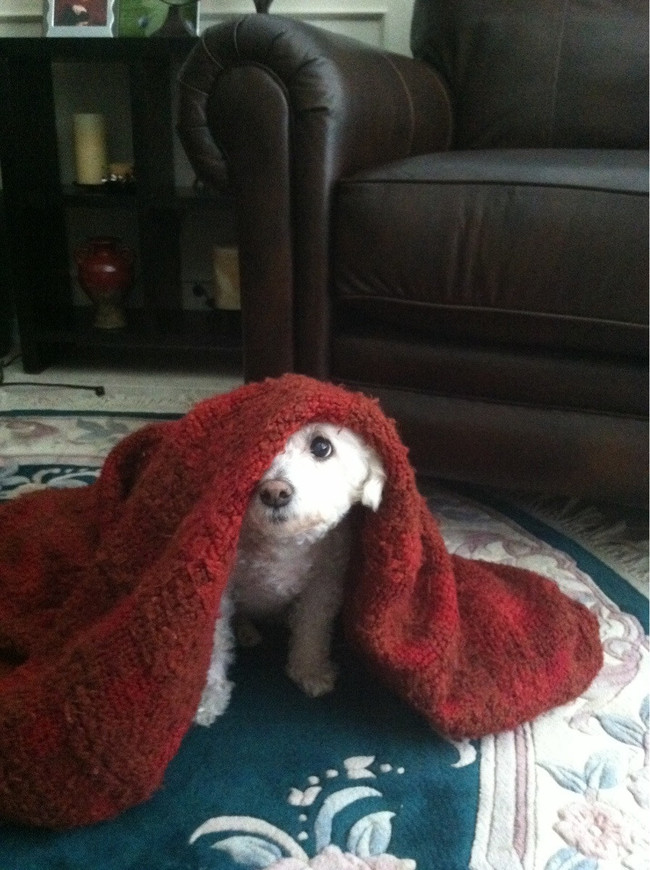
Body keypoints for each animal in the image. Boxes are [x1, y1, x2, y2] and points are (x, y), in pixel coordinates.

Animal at [192, 424, 384, 728]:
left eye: (321, 446)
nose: (274, 492)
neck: (281, 544)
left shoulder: (323, 585)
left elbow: (312, 629)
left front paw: (310, 670)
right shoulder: (219, 589)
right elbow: (216, 642)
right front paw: (209, 695)